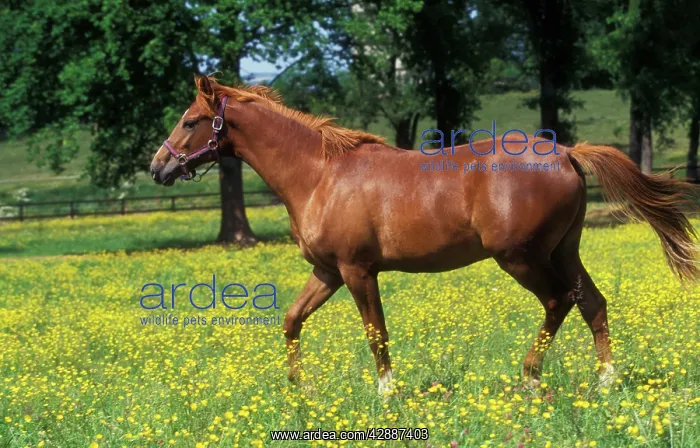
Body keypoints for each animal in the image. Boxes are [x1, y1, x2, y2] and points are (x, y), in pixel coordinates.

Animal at [150, 75, 699, 395]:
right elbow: (291, 320)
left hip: (521, 258)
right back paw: (606, 382)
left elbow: (376, 333)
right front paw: (297, 390)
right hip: (564, 251)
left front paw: (387, 393)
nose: (158, 167)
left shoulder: (357, 271)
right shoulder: (327, 272)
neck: (320, 175)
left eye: (191, 120)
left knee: (558, 302)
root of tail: (566, 152)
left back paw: (529, 377)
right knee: (593, 303)